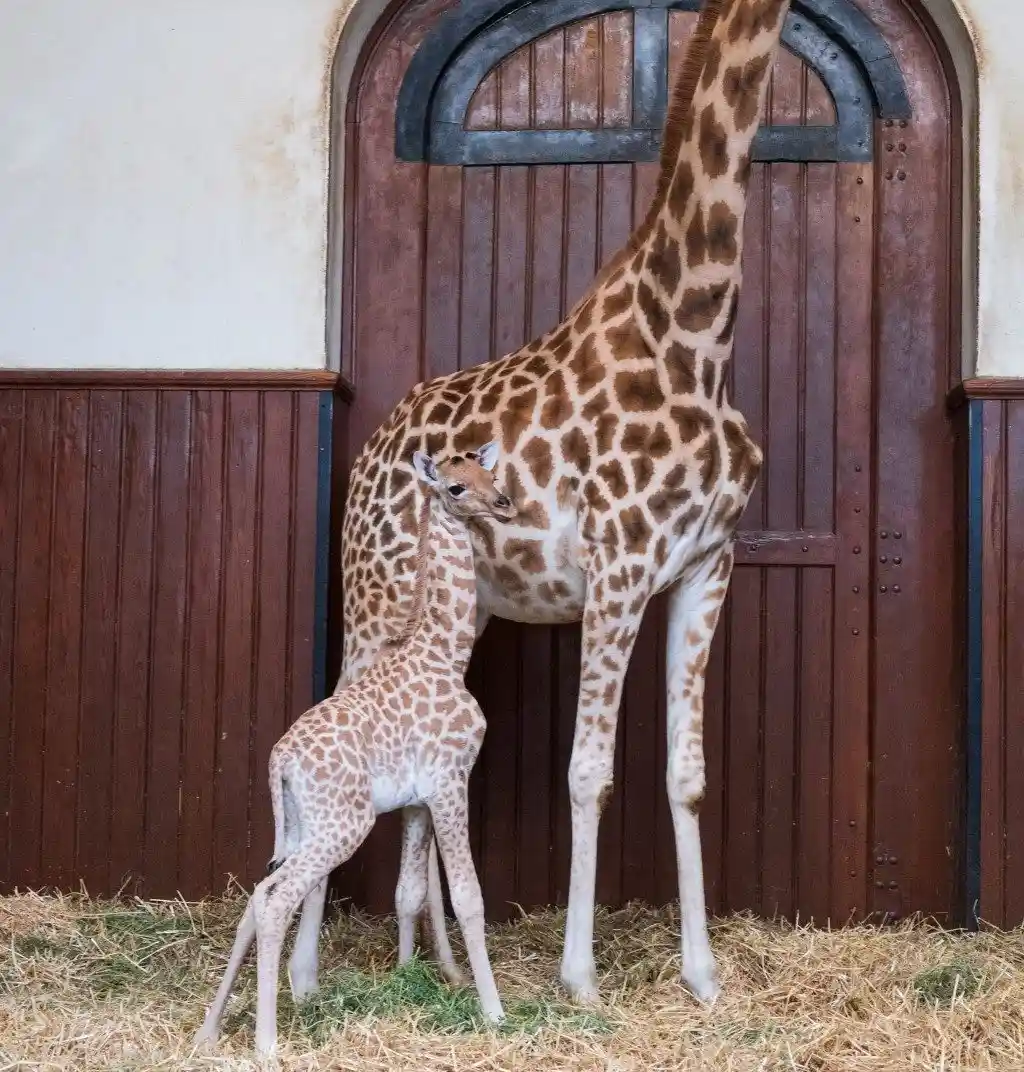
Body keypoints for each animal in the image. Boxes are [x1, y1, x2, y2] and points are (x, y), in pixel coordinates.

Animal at [193, 446, 515, 1057]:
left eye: (492, 473)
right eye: (457, 487)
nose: (505, 504)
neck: (446, 651)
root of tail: (279, 761)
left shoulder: (415, 801)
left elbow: (409, 891)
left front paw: (407, 977)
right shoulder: (450, 781)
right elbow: (468, 895)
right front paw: (494, 1012)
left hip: (303, 824)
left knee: (256, 895)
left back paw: (209, 1030)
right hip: (343, 823)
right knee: (276, 901)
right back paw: (267, 1044)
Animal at [329, 0, 793, 1005]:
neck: (697, 337)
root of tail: (373, 453)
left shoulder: (706, 566)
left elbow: (687, 774)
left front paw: (703, 975)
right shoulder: (618, 568)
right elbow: (589, 773)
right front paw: (579, 976)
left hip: (459, 616)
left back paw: (424, 957)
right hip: (370, 602)